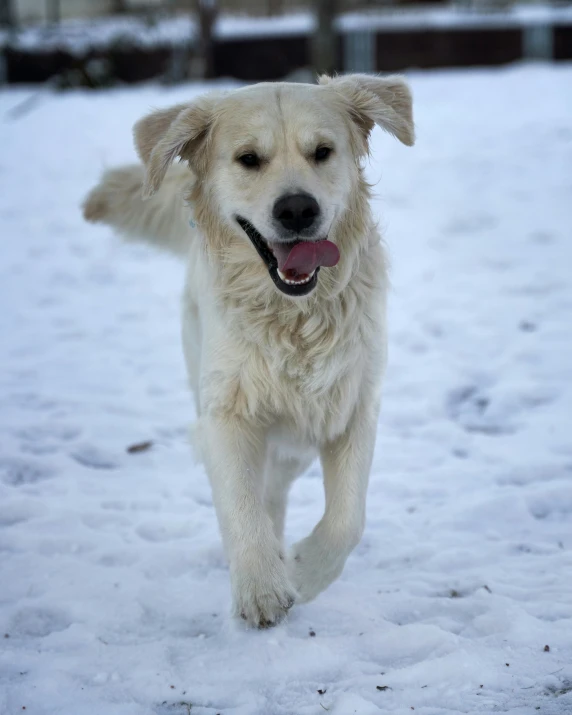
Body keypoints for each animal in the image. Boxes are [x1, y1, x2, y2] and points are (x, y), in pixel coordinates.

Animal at [82, 75, 414, 628]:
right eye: (248, 159)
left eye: (322, 152)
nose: (297, 209)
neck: (294, 317)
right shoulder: (226, 413)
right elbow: (240, 501)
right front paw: (260, 586)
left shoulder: (350, 405)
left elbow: (347, 519)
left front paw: (303, 571)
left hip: (295, 441)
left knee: (277, 491)